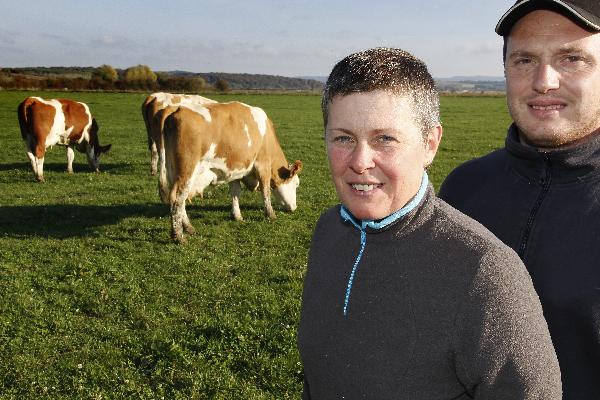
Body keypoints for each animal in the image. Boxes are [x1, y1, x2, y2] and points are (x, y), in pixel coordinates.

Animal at [163, 101, 302, 242]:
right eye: (296, 184)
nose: (294, 208)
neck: (267, 137)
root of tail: (177, 111)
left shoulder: (234, 170)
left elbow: (235, 192)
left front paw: (237, 216)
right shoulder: (263, 165)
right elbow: (266, 191)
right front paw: (271, 215)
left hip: (173, 171)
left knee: (179, 199)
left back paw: (188, 228)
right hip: (187, 171)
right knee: (177, 199)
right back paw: (179, 236)